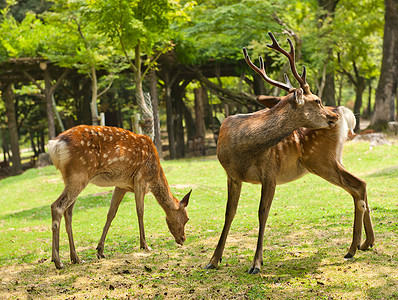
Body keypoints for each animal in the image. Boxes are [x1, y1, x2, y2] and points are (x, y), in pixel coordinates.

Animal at [48, 125, 191, 270]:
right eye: (186, 219)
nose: (183, 239)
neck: (154, 176)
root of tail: (55, 144)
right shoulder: (140, 180)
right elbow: (140, 212)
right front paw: (145, 245)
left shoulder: (121, 186)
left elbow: (111, 213)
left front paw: (100, 250)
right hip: (79, 174)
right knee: (57, 206)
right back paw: (58, 261)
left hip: (71, 178)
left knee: (68, 212)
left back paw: (75, 258)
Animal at [204, 32, 344, 274]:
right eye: (317, 100)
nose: (334, 116)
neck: (243, 150)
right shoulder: (232, 175)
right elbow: (229, 212)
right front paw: (213, 260)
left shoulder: (270, 172)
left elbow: (262, 213)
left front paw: (256, 263)